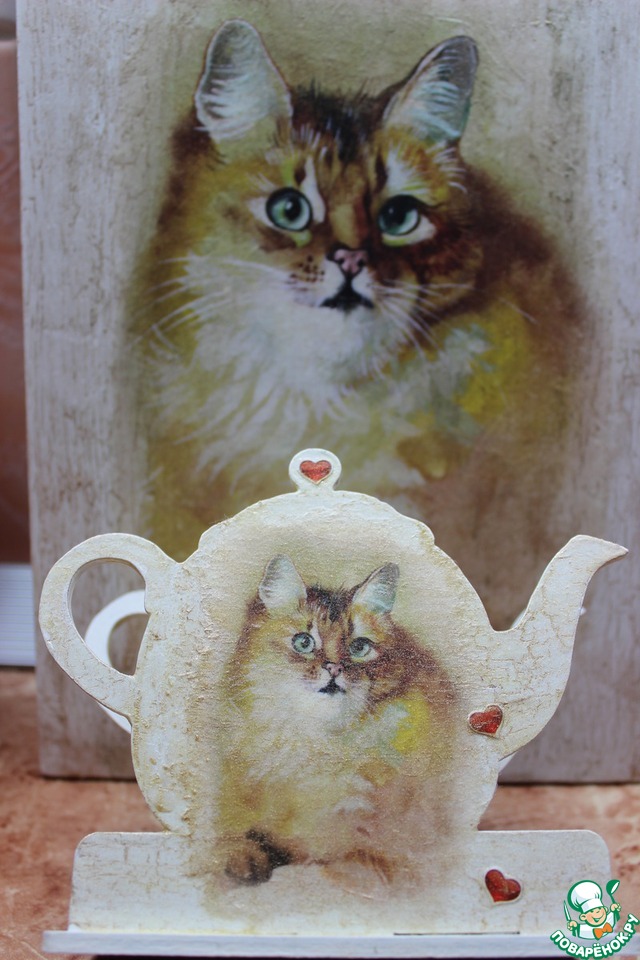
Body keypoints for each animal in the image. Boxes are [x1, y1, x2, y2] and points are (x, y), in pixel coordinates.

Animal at [216, 555, 455, 886]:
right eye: (303, 642)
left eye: (359, 647)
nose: (333, 669)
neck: (318, 748)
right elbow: (237, 838)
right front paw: (245, 860)